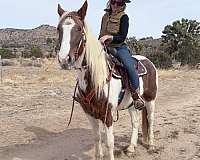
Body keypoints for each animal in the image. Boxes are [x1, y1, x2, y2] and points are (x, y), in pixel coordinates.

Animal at [55, 0, 157, 159]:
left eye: (79, 28)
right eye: (59, 29)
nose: (64, 59)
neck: (95, 79)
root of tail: (148, 61)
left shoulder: (107, 114)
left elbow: (109, 142)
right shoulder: (90, 113)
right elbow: (97, 137)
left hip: (150, 99)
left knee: (150, 120)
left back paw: (151, 145)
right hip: (132, 103)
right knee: (135, 122)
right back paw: (131, 148)